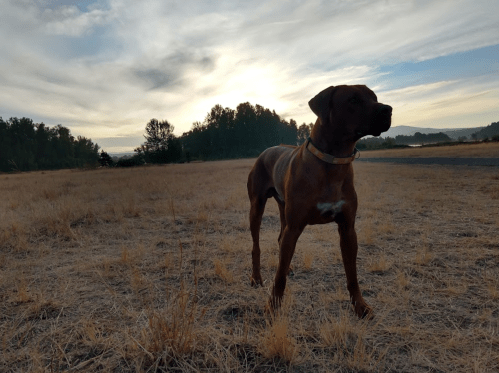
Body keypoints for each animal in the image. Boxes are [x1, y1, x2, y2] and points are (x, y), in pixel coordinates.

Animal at [248, 84, 392, 316]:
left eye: (374, 97)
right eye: (353, 99)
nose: (388, 109)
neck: (332, 163)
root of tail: (267, 150)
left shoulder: (348, 228)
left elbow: (352, 275)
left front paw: (360, 305)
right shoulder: (295, 226)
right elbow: (278, 278)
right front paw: (273, 306)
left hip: (283, 207)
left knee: (280, 240)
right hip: (256, 206)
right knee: (256, 245)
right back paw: (256, 278)